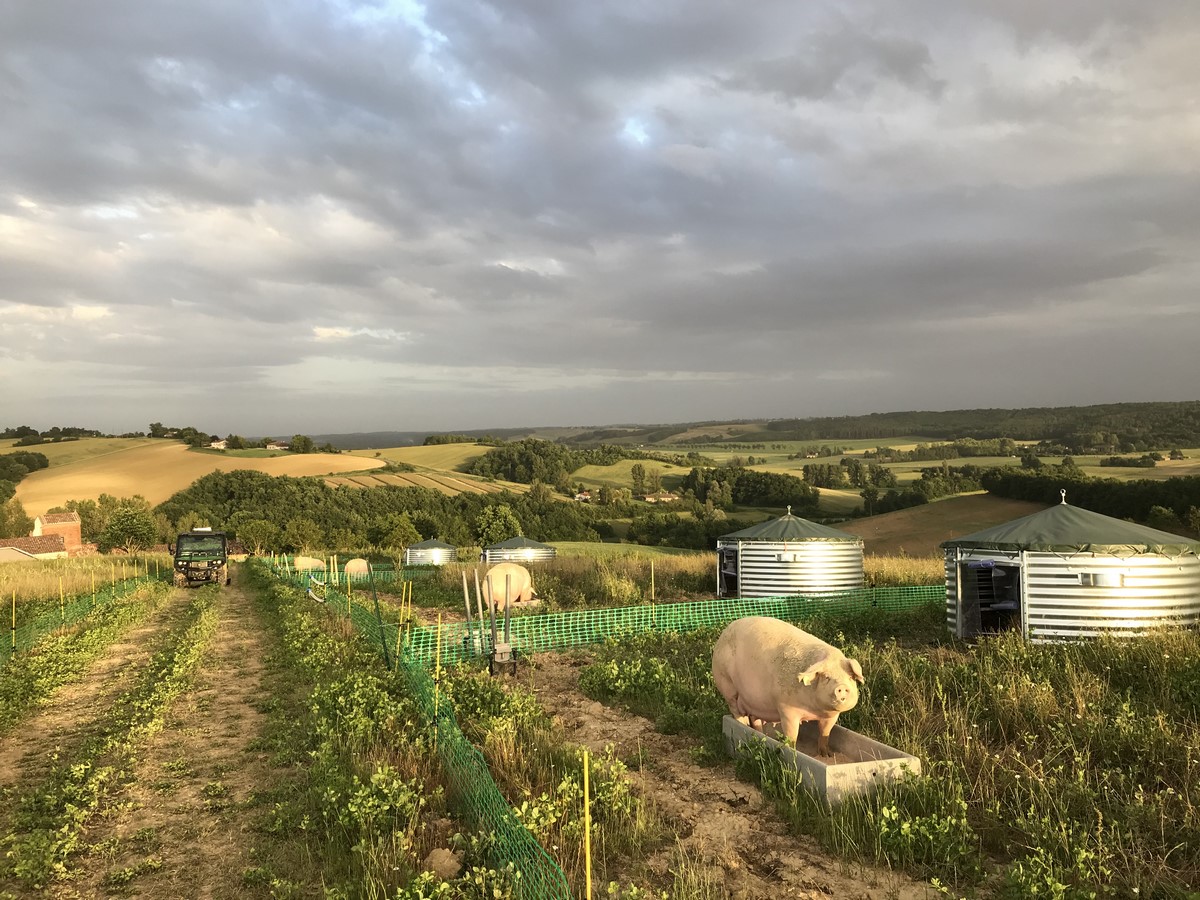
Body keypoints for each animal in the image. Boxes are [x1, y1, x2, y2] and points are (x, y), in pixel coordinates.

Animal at [705, 619, 868, 758]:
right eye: (826, 677)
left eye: (850, 677)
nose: (842, 687)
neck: (815, 710)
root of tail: (724, 632)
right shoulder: (786, 708)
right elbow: (792, 735)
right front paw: (793, 752)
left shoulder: (832, 716)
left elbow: (825, 733)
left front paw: (826, 755)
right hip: (727, 685)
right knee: (736, 711)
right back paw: (743, 725)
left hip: (754, 701)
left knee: (755, 719)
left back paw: (761, 734)